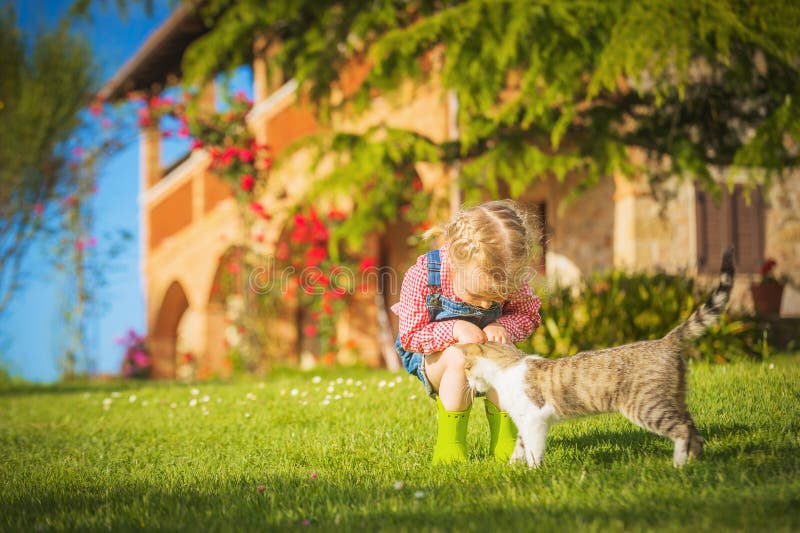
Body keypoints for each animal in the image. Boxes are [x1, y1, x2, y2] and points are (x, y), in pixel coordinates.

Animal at [462, 246, 736, 466]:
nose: (469, 384)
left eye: (466, 369)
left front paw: (533, 472)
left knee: (681, 430)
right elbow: (520, 446)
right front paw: (510, 468)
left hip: (647, 405)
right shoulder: (524, 422)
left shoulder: (534, 419)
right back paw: (694, 462)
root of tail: (664, 342)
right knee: (692, 429)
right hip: (675, 398)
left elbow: (533, 450)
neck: (507, 369)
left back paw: (678, 464)